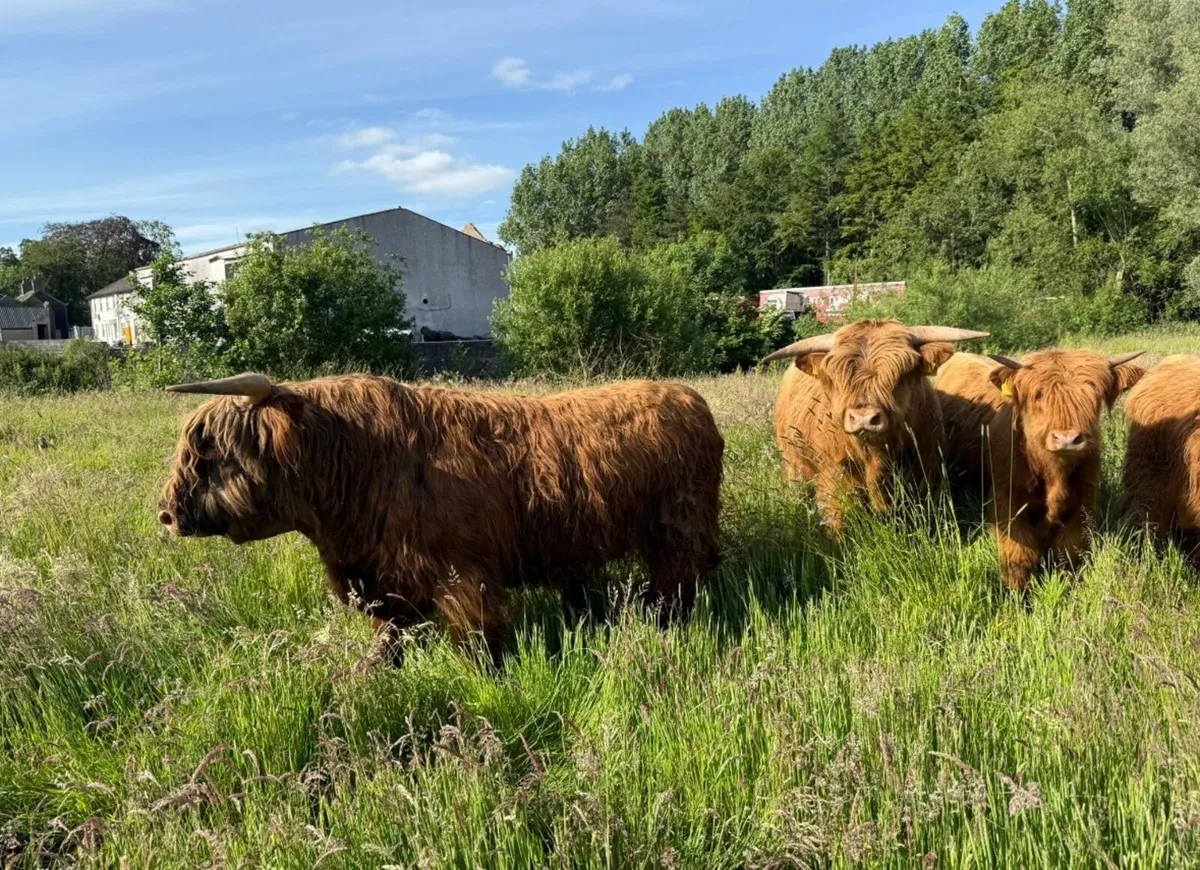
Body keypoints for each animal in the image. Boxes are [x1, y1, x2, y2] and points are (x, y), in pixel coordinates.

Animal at [158, 372, 724, 656]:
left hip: (678, 526)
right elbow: (389, 638)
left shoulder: (463, 575)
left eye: (211, 455)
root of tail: (688, 397)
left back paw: (666, 625)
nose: (166, 514)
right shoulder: (383, 579)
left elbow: (479, 641)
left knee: (677, 582)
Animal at [762, 320, 989, 531]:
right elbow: (838, 521)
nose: (864, 418)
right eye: (836, 376)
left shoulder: (925, 473)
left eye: (903, 373)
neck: (877, 457)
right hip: (794, 464)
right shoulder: (834, 478)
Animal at [935, 349, 1145, 592]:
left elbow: (1068, 553)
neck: (1054, 476)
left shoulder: (1082, 506)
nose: (1067, 439)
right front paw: (1017, 594)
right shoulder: (1008, 505)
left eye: (1093, 392)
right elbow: (1018, 556)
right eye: (1038, 395)